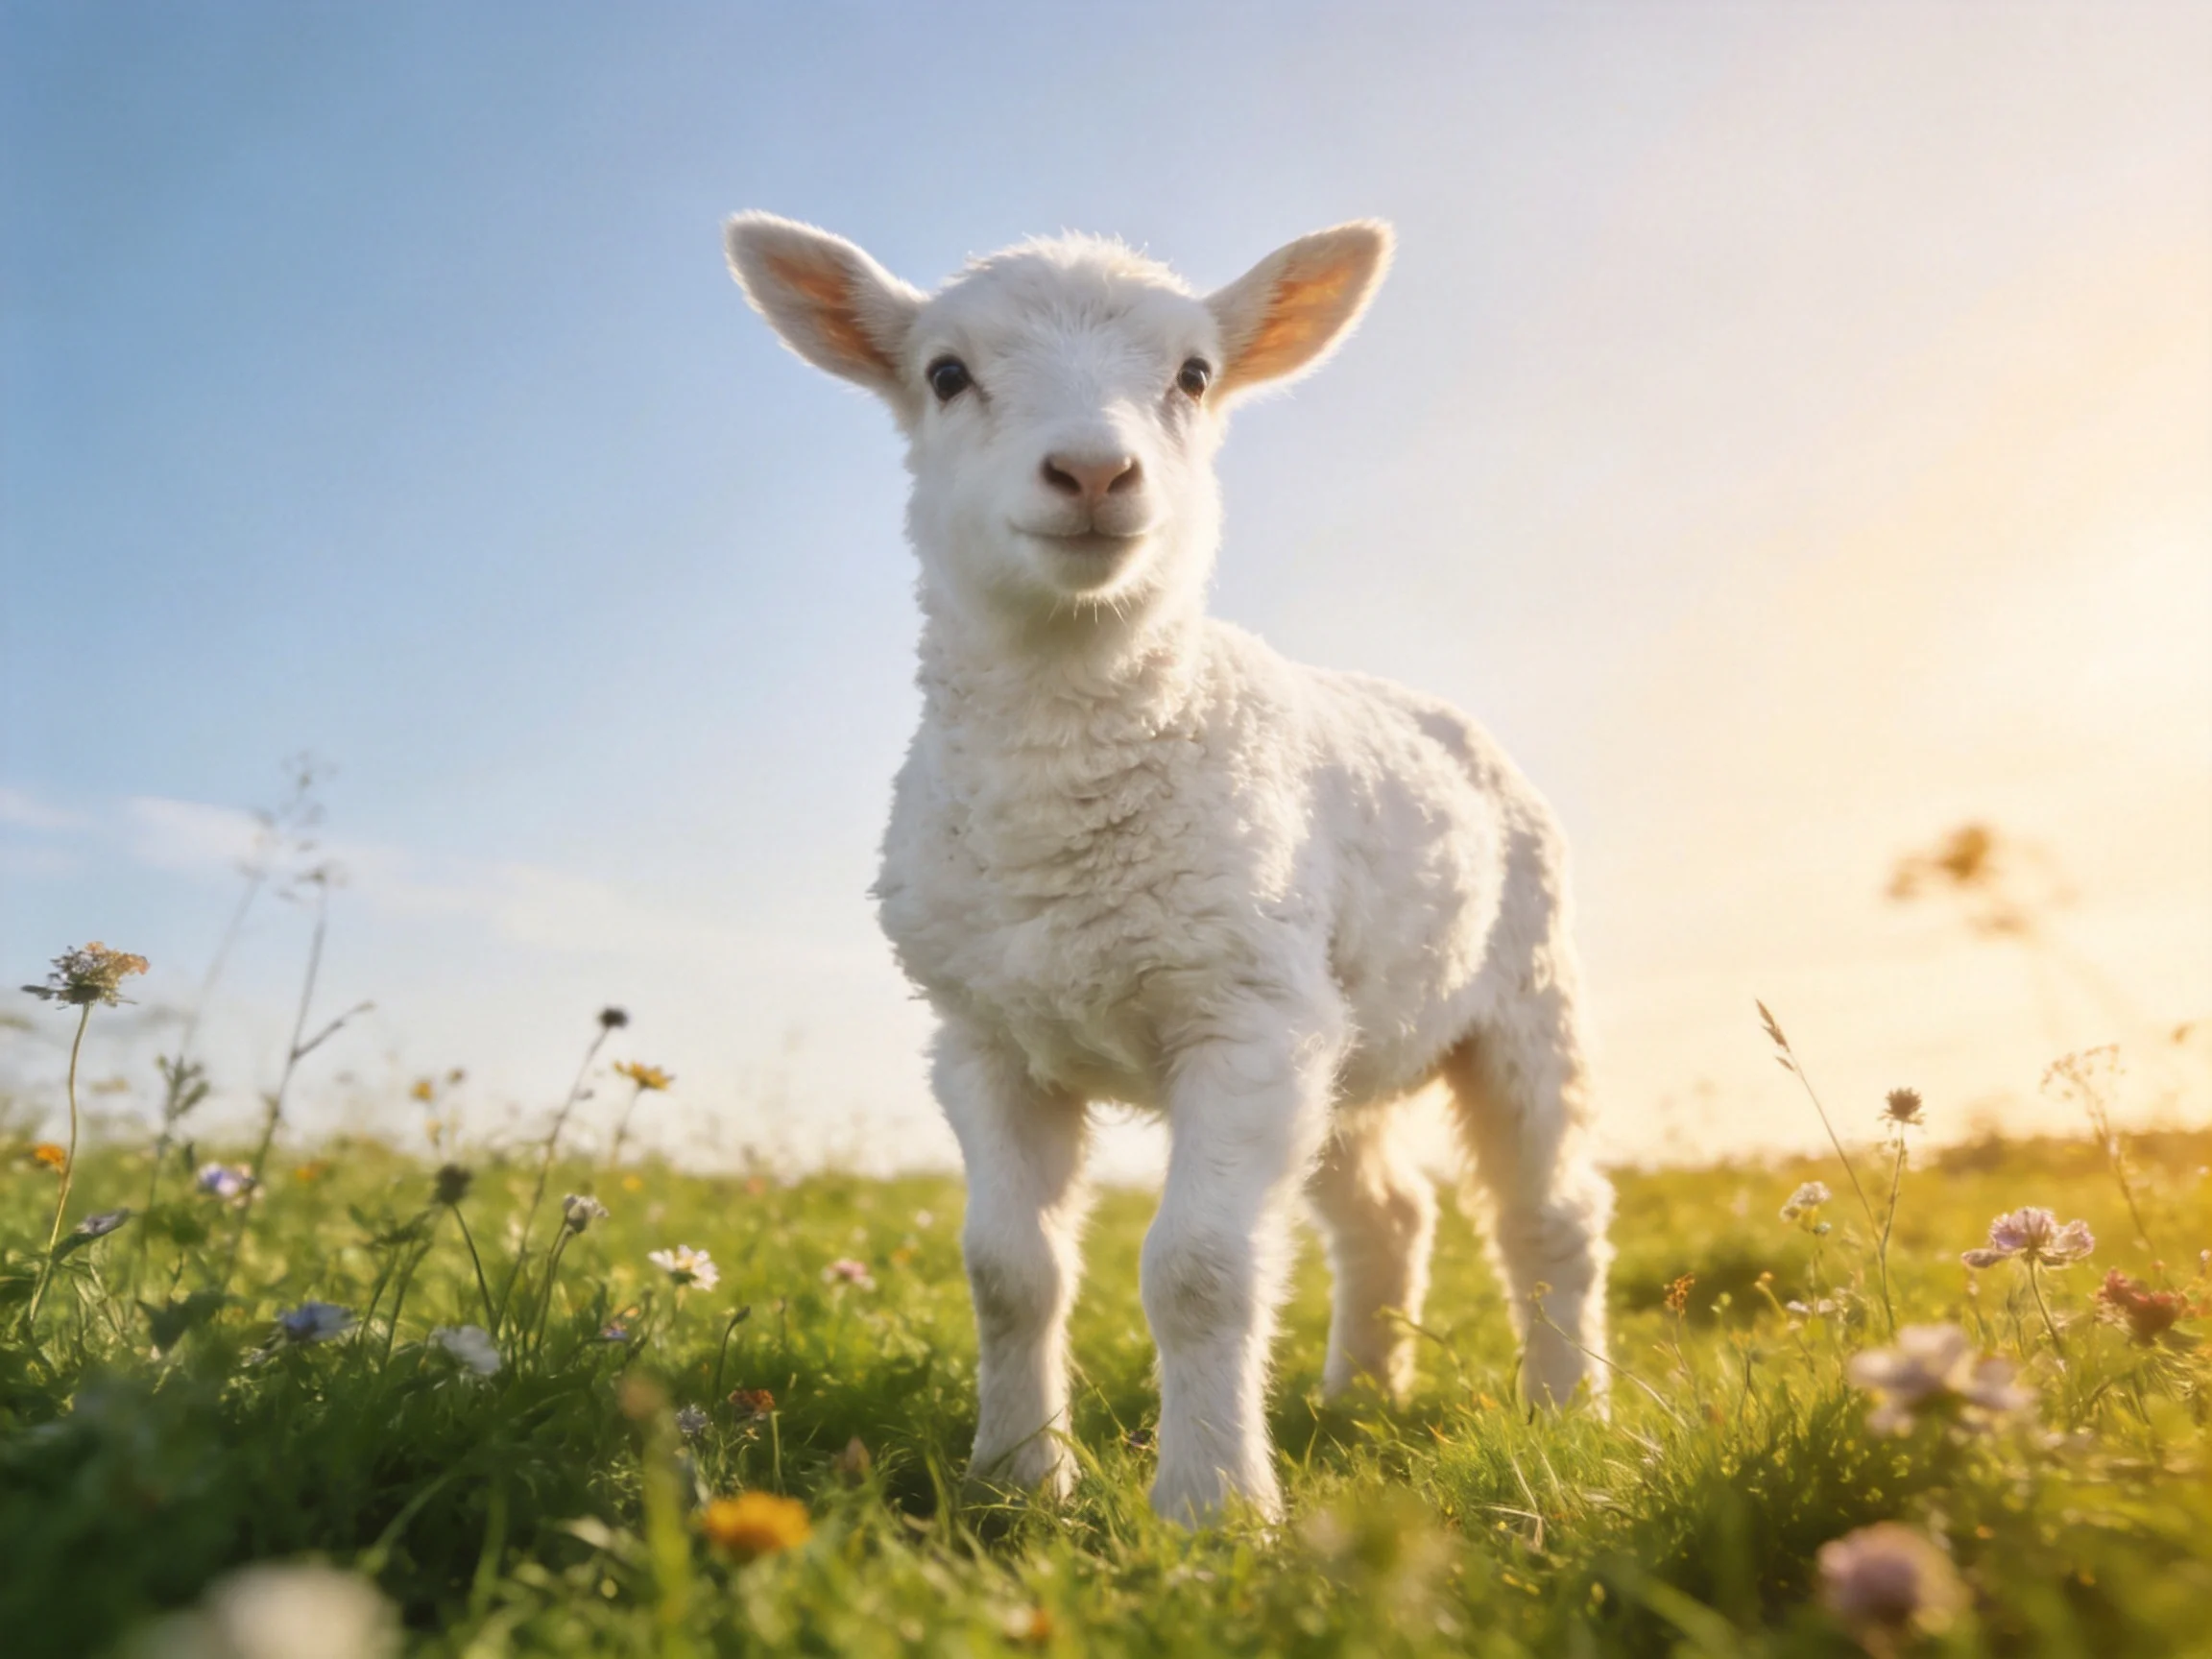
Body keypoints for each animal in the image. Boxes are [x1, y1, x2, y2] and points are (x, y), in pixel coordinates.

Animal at [724, 213, 1614, 1525]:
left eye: (1194, 376)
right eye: (946, 373)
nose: (1094, 474)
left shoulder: (1241, 1023)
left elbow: (1200, 1270)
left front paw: (1214, 1506)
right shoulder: (985, 1040)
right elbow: (1008, 1271)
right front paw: (1015, 1481)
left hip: (1523, 991)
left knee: (1549, 1213)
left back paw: (1566, 1412)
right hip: (1338, 1030)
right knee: (1389, 1214)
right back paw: (1358, 1395)